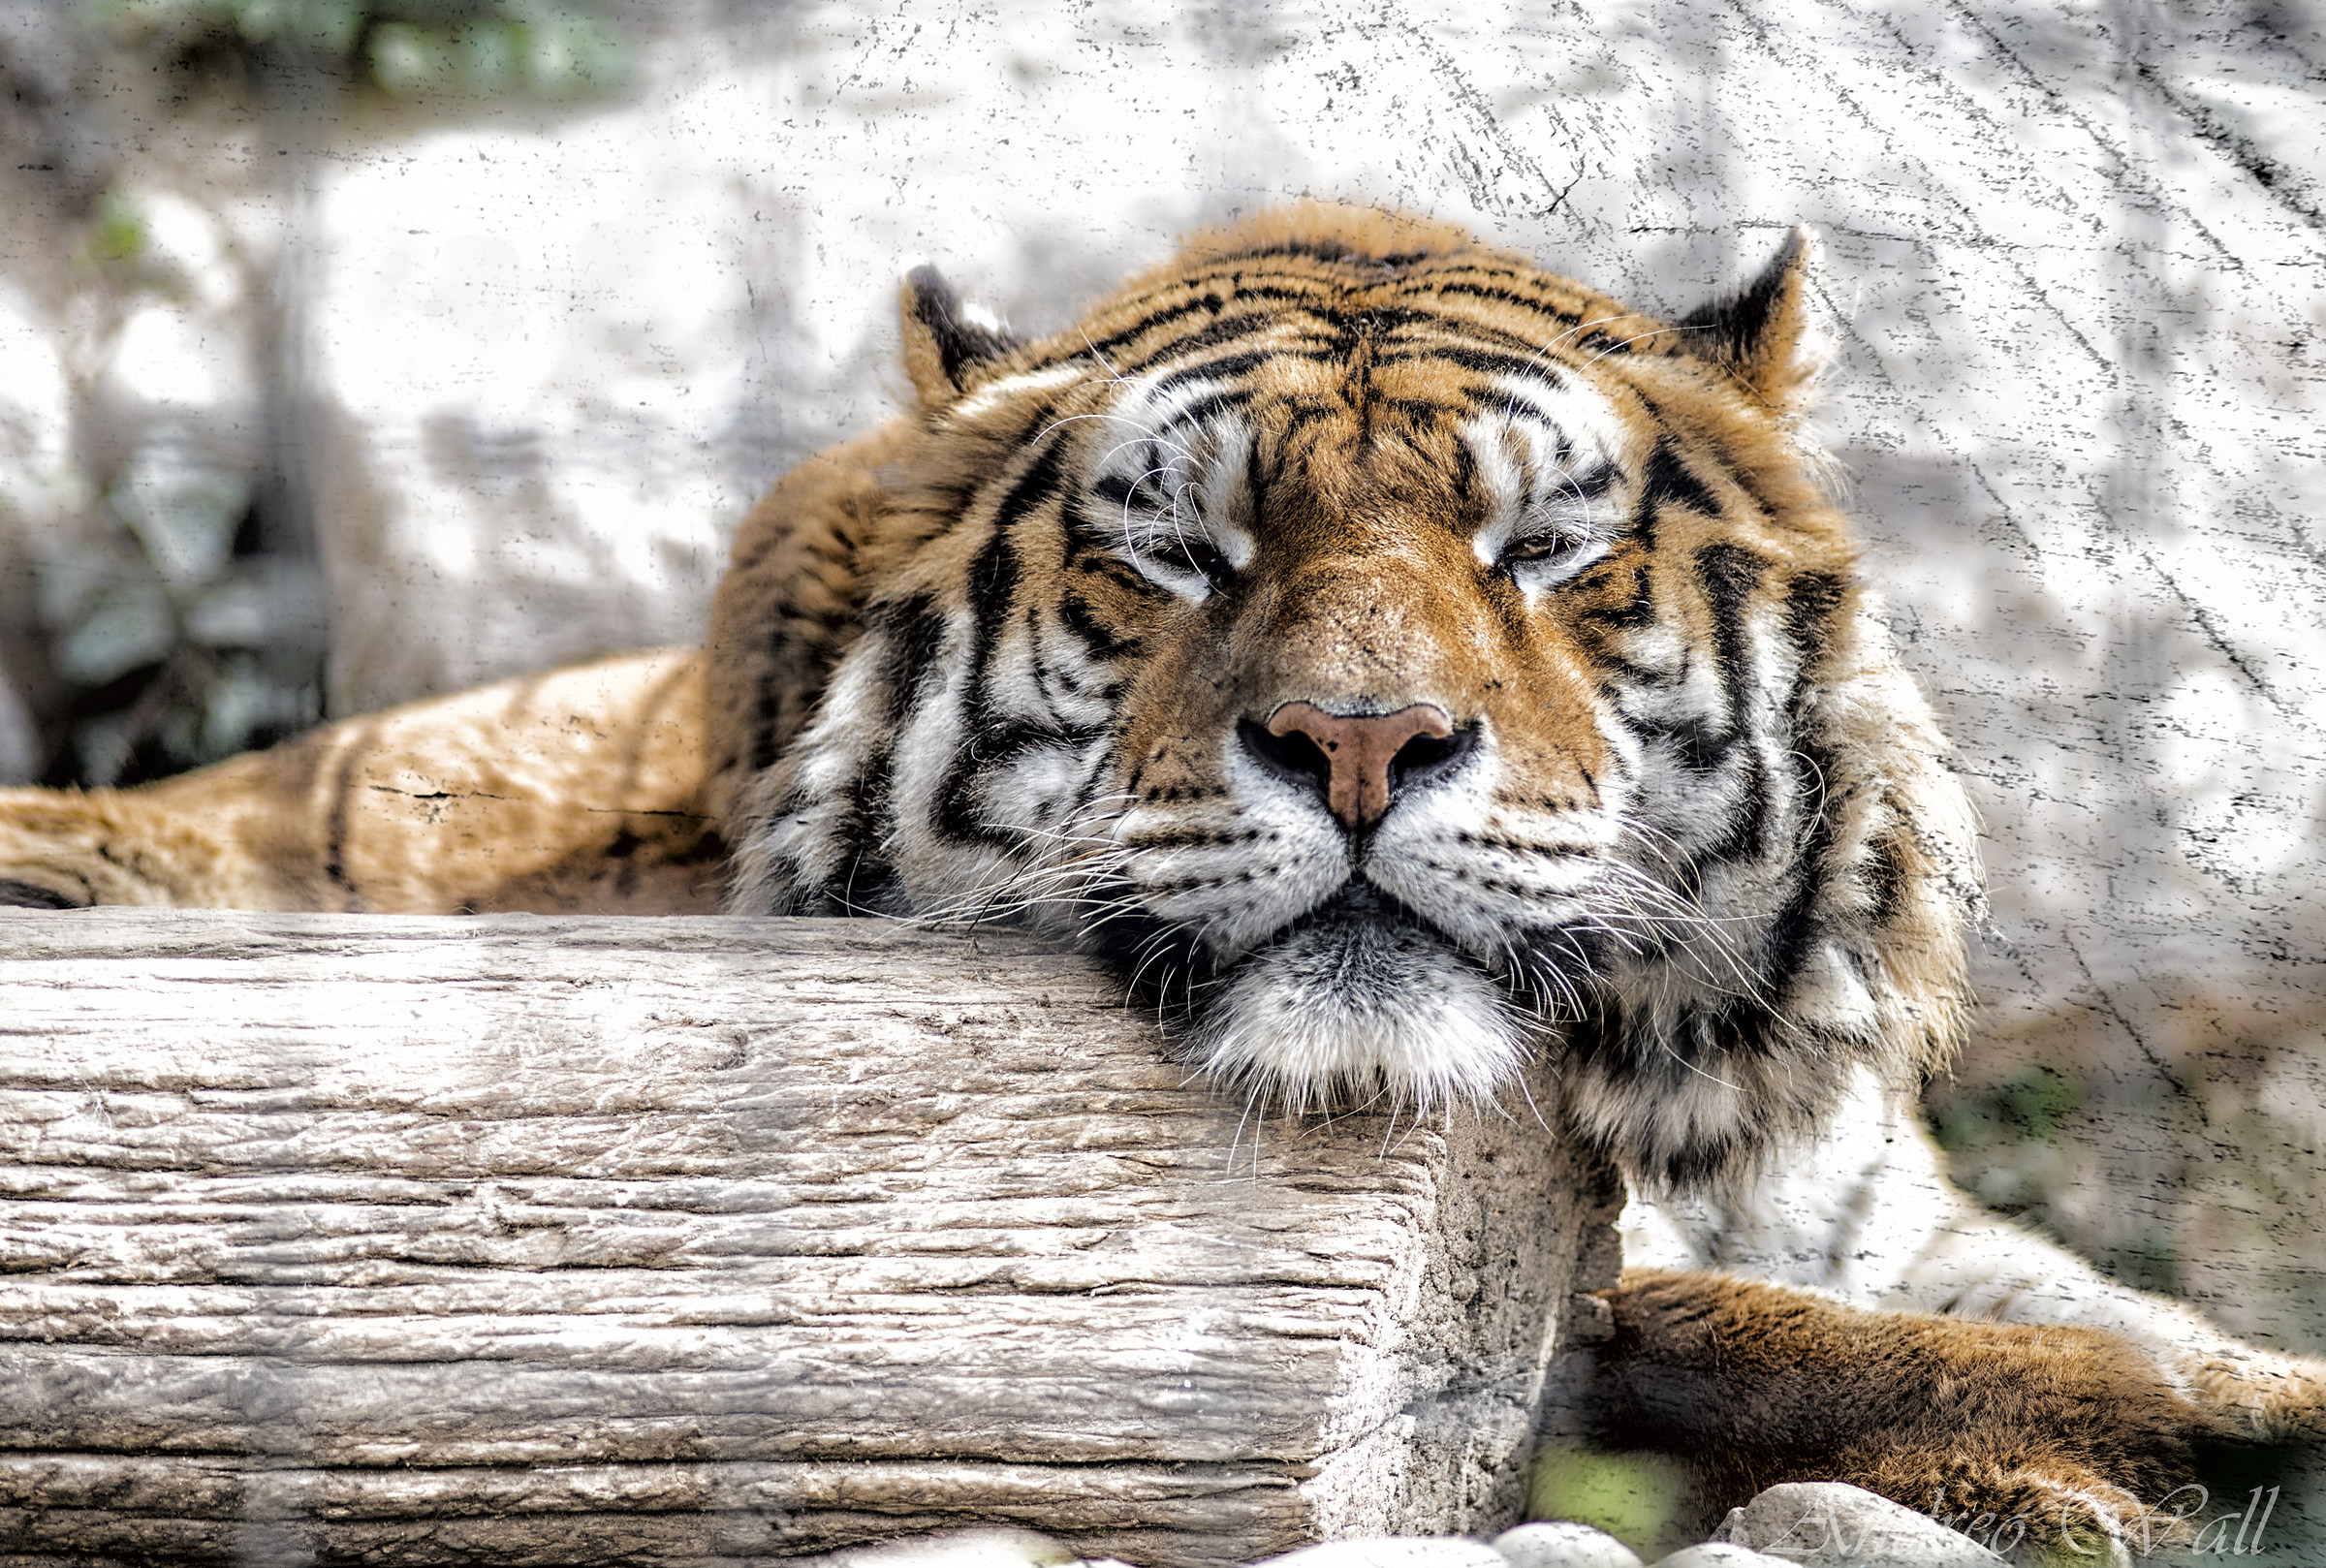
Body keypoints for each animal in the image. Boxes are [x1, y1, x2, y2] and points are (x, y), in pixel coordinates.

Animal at [3, 204, 2319, 1560]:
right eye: (1183, 552)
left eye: (1542, 550)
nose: (1364, 741)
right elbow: (1808, 1343)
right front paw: (2134, 1466)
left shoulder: (1890, 1210)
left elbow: (2099, 1320)